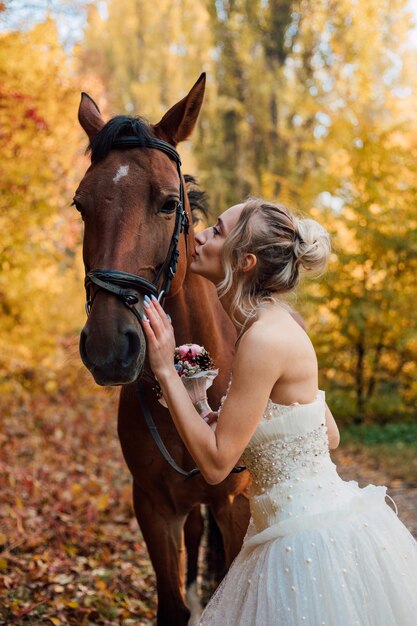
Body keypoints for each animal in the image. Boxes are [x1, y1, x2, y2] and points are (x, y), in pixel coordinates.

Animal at [74, 74, 249, 624]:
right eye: (81, 204)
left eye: (169, 203)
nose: (108, 347)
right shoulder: (152, 505)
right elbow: (171, 605)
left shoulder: (234, 503)